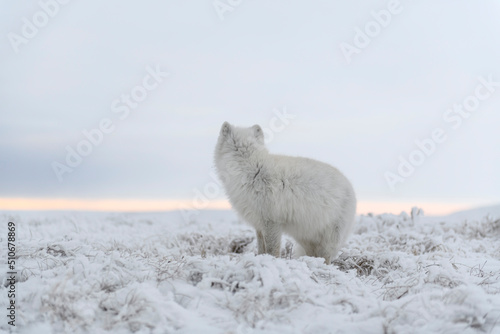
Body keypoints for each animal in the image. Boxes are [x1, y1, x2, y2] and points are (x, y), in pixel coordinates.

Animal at [214, 121, 356, 264]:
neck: (249, 167)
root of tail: (350, 186)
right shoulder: (258, 224)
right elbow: (261, 249)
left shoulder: (271, 221)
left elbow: (272, 250)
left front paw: (271, 262)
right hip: (304, 235)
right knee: (313, 253)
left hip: (329, 237)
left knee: (326, 257)